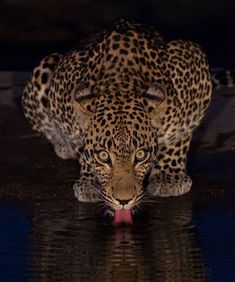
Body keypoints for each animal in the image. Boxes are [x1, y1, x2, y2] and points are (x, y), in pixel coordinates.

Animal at [21, 19, 211, 213]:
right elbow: (82, 146)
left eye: (140, 155)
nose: (123, 201)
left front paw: (168, 177)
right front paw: (90, 180)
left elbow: (180, 136)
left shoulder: (194, 64)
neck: (121, 81)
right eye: (104, 156)